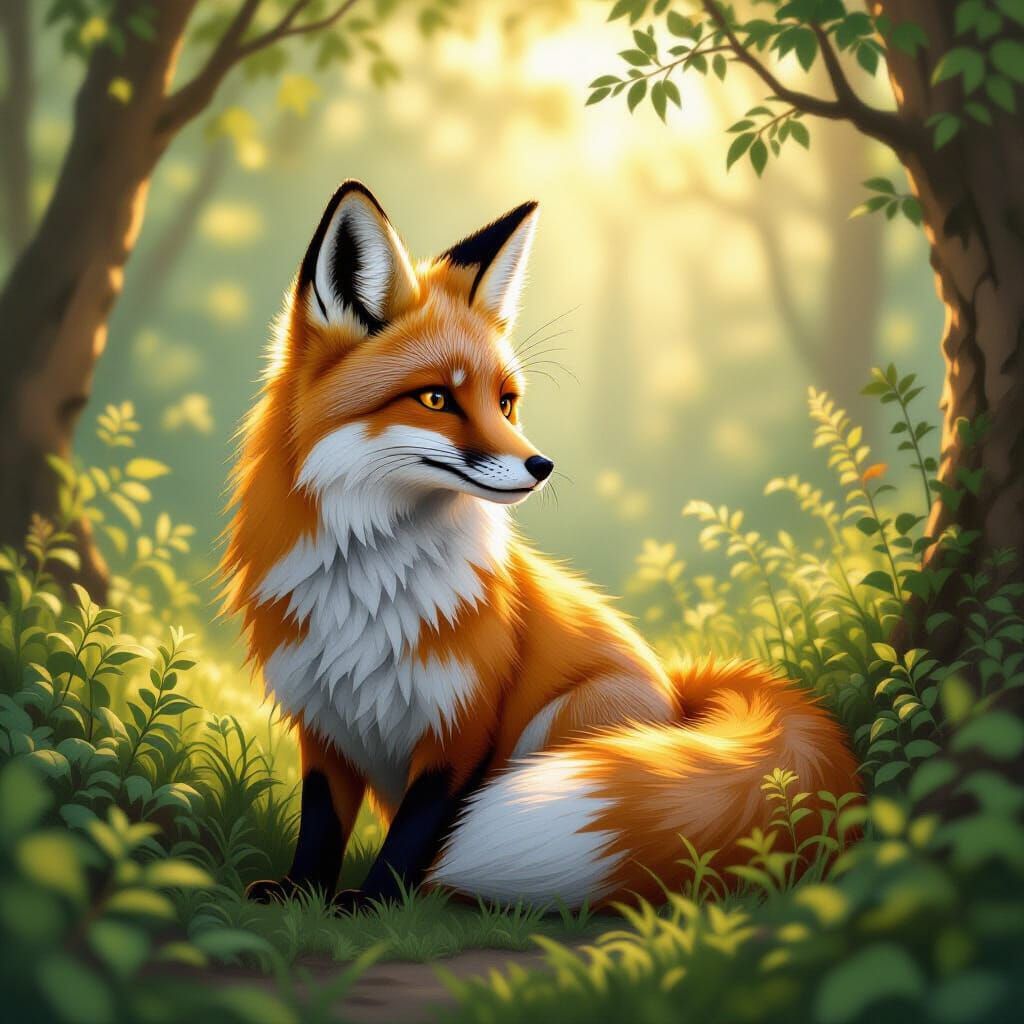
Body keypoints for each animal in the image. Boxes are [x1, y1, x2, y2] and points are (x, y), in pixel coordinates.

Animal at [221, 180, 859, 911]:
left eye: (506, 402)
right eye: (435, 398)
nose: (542, 466)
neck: (372, 580)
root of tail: (678, 692)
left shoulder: (463, 727)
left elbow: (418, 833)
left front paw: (380, 901)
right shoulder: (324, 721)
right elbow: (322, 823)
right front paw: (303, 893)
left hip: (568, 720)